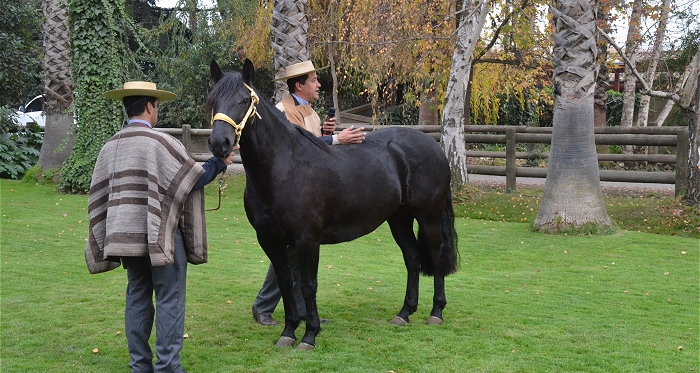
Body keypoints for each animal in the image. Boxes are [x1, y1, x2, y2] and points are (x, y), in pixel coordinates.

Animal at [206, 58, 460, 348]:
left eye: (244, 99)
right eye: (213, 100)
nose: (219, 143)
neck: (284, 168)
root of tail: (433, 145)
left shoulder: (307, 240)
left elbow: (308, 286)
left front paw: (309, 335)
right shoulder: (270, 240)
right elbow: (285, 284)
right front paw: (288, 332)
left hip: (428, 217)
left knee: (436, 257)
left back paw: (436, 312)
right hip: (399, 219)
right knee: (413, 258)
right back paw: (404, 313)